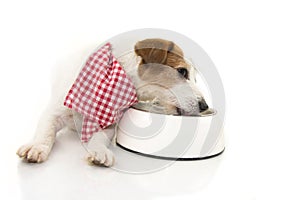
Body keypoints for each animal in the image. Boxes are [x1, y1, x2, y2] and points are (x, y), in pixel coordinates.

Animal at [16, 38, 209, 166]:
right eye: (182, 71)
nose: (205, 106)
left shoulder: (109, 124)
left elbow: (99, 137)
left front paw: (99, 151)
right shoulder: (54, 111)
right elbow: (46, 131)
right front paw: (37, 146)